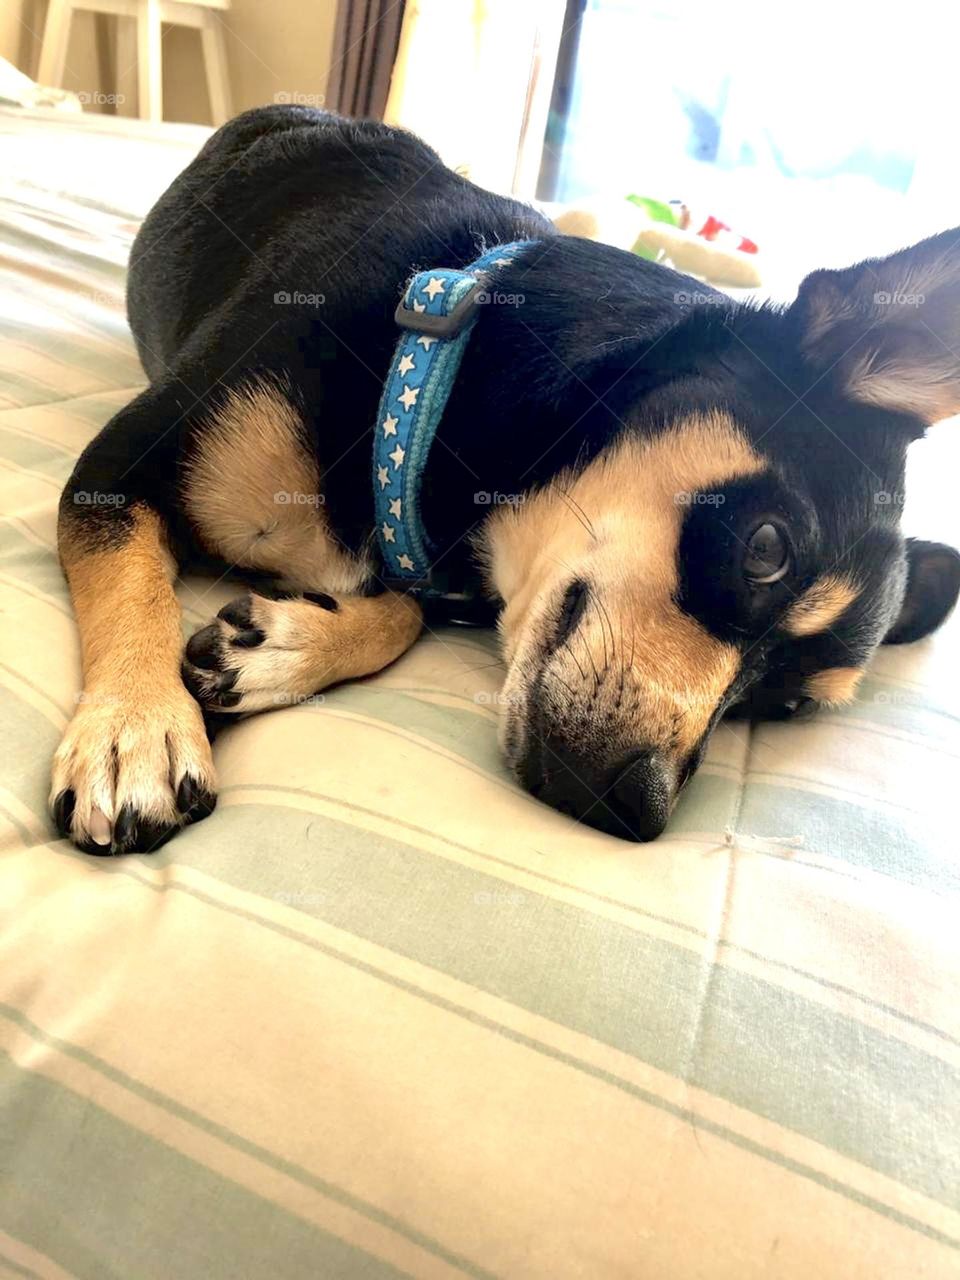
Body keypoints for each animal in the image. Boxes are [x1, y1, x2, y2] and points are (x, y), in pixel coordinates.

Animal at [50, 105, 960, 854]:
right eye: (767, 549)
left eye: (785, 708)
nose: (638, 807)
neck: (430, 378)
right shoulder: (116, 468)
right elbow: (135, 586)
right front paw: (136, 726)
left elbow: (405, 612)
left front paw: (286, 644)